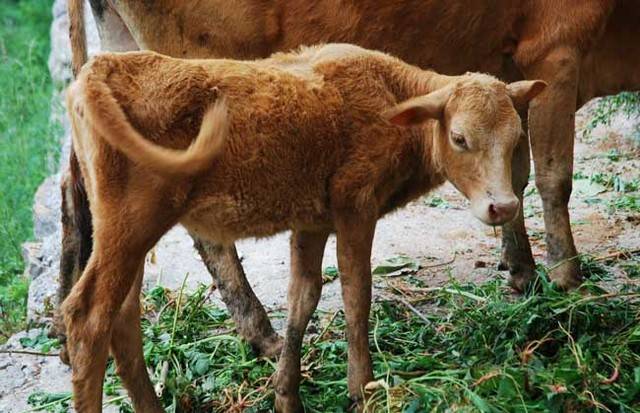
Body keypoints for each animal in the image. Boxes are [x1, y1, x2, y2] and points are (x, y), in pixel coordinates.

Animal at [62, 0, 640, 358]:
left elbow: (512, 177)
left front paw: (522, 270)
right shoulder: (556, 52)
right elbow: (553, 177)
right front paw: (568, 279)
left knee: (78, 188)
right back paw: (263, 334)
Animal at [63, 43, 544, 410]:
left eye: (516, 138)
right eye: (460, 138)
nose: (503, 206)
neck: (389, 96)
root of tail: (102, 67)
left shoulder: (312, 223)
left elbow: (303, 299)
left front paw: (286, 396)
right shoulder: (355, 206)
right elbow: (356, 293)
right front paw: (362, 388)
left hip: (128, 233)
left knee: (123, 319)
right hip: (131, 224)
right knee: (89, 317)